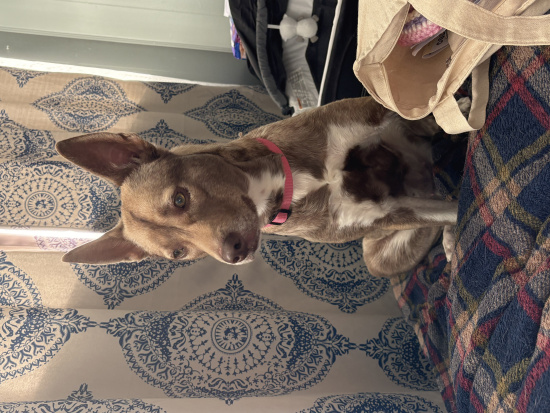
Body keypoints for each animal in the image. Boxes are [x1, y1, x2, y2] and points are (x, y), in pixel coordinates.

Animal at [56, 97, 460, 277]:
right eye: (178, 254)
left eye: (179, 199)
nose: (232, 253)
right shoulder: (386, 213)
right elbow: (457, 211)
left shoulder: (382, 117)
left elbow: (430, 112)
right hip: (379, 258)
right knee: (439, 203)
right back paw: (449, 241)